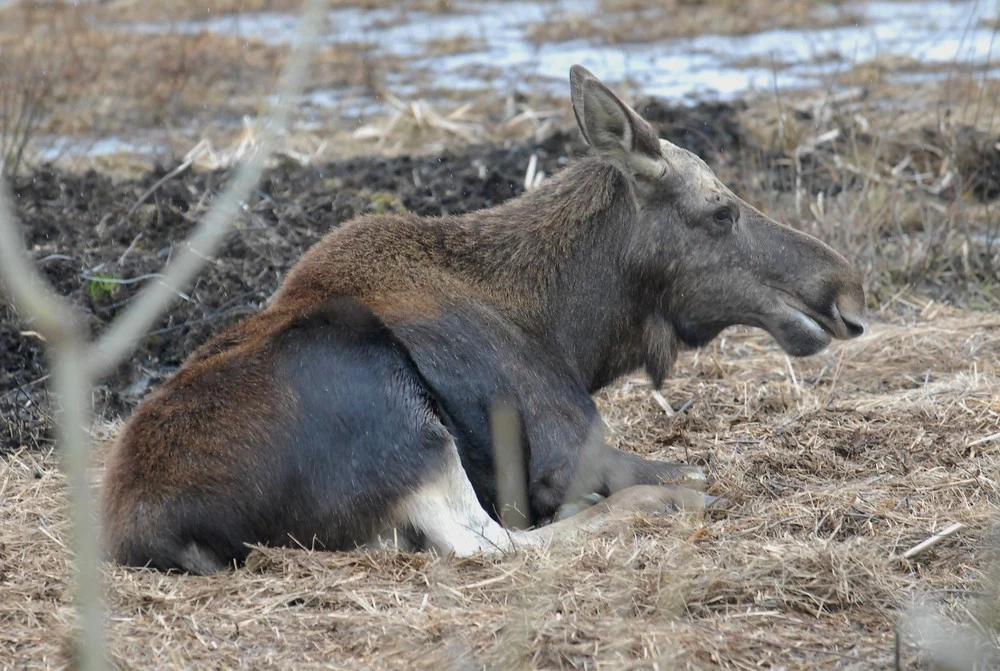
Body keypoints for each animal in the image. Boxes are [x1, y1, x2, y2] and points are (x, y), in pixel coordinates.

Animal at [101, 65, 868, 576]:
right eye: (721, 210)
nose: (845, 293)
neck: (572, 331)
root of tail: (156, 533)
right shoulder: (568, 448)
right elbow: (684, 467)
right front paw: (682, 490)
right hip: (397, 406)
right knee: (488, 546)